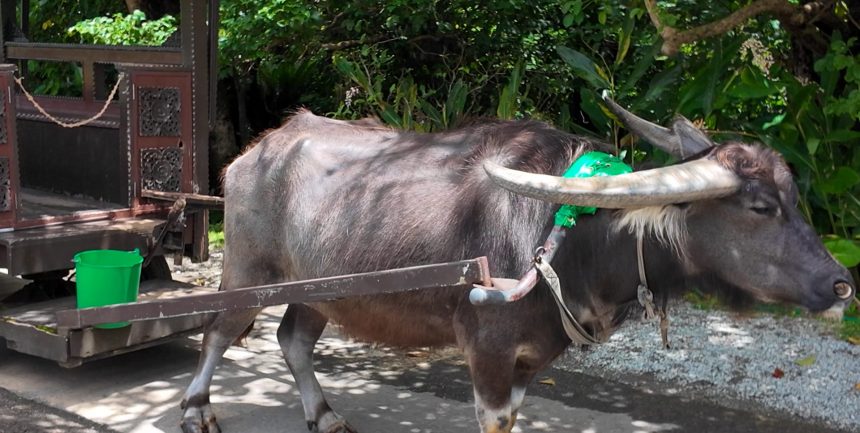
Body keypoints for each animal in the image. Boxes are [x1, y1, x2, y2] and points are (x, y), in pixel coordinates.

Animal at [179, 94, 854, 433]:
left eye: (795, 197)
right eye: (761, 206)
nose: (841, 284)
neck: (572, 237)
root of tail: (256, 152)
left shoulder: (533, 357)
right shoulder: (488, 353)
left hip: (323, 287)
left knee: (293, 339)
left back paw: (324, 416)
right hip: (248, 271)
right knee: (217, 331)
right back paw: (196, 410)